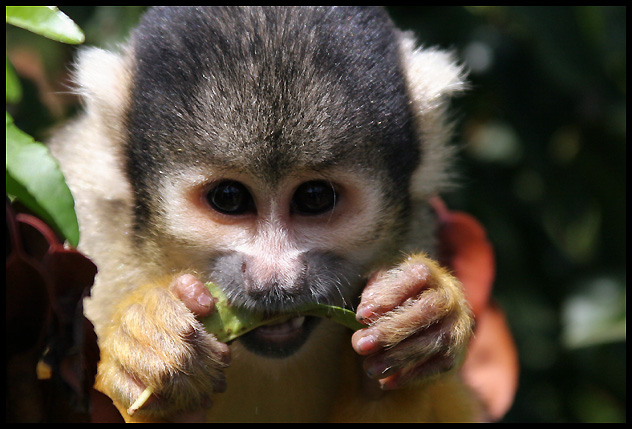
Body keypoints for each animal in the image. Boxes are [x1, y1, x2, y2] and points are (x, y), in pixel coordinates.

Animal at [50, 5, 484, 422]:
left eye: (314, 197)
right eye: (229, 197)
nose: (275, 282)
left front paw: (426, 317)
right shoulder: (88, 219)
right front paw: (146, 343)